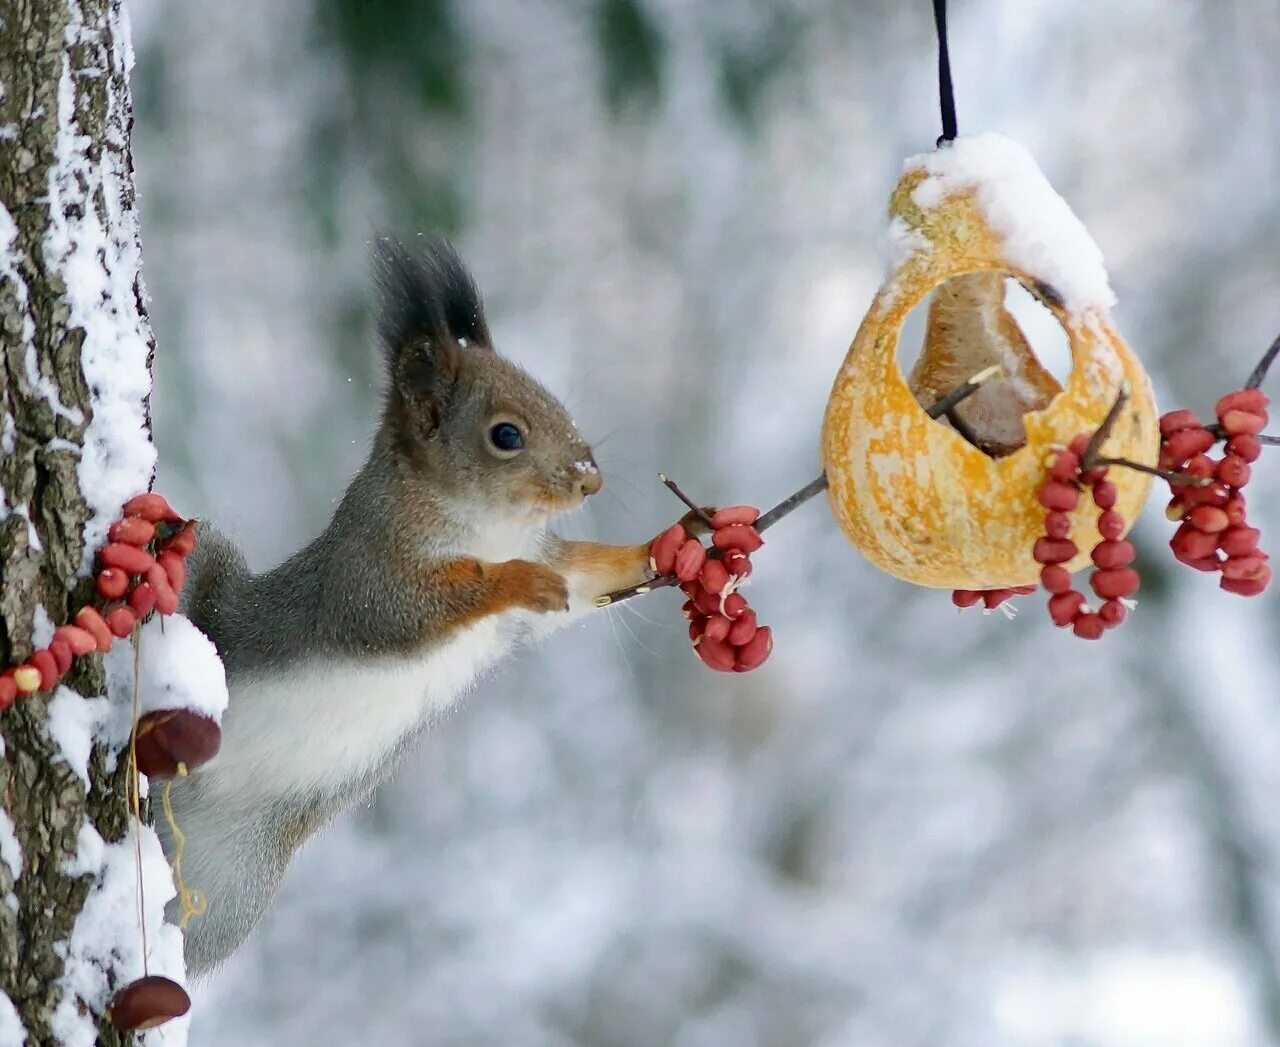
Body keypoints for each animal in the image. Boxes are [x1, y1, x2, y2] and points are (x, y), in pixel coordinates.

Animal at [168, 236, 691, 972]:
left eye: (556, 400)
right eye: (507, 435)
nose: (591, 478)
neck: (490, 528)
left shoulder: (541, 579)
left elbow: (591, 579)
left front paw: (677, 541)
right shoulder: (371, 577)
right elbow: (423, 606)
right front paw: (517, 577)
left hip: (229, 889)